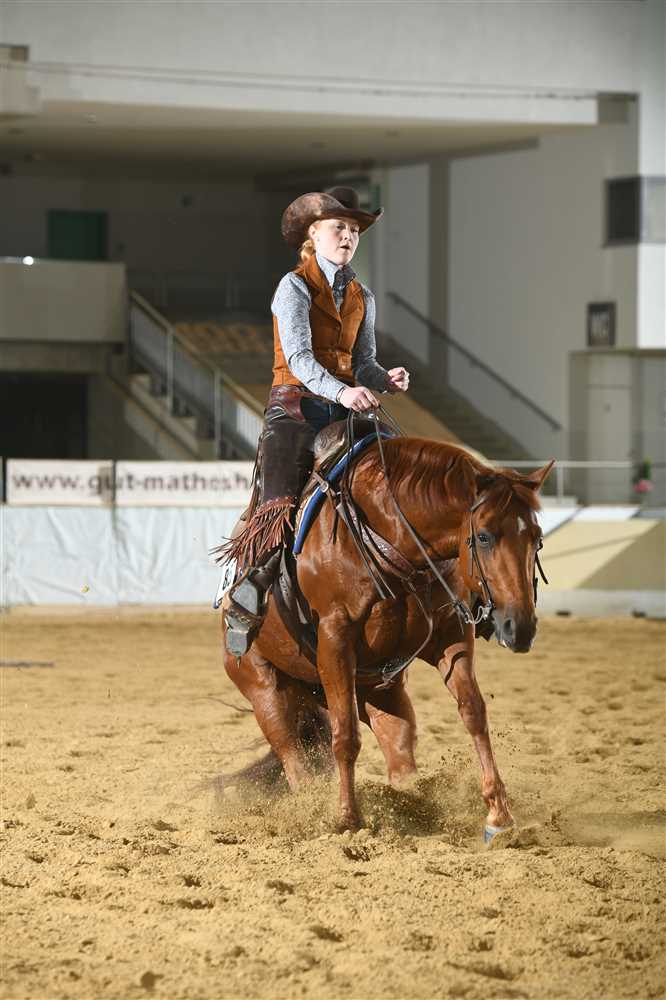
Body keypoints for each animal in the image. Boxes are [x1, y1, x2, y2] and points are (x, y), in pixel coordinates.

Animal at [220, 431, 553, 839]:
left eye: (537, 538)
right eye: (485, 537)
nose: (519, 628)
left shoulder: (450, 635)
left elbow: (473, 711)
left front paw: (498, 814)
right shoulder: (335, 642)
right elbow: (345, 735)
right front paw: (347, 818)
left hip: (381, 691)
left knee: (398, 746)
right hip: (265, 689)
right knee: (293, 757)